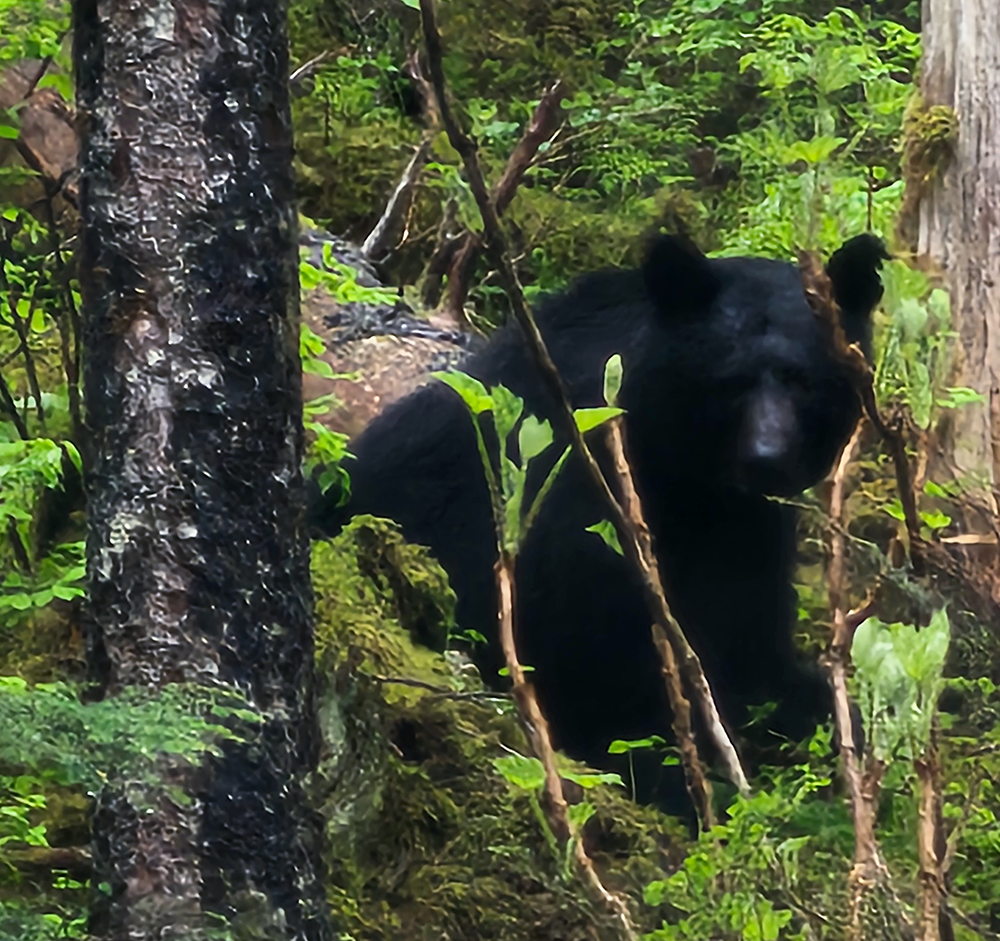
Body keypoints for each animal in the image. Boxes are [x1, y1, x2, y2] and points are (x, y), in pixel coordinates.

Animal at [310, 233, 888, 814]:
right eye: (732, 382)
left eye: (804, 381)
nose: (766, 458)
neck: (683, 477)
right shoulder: (578, 515)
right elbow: (608, 670)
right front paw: (678, 782)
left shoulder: (744, 529)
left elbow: (751, 635)